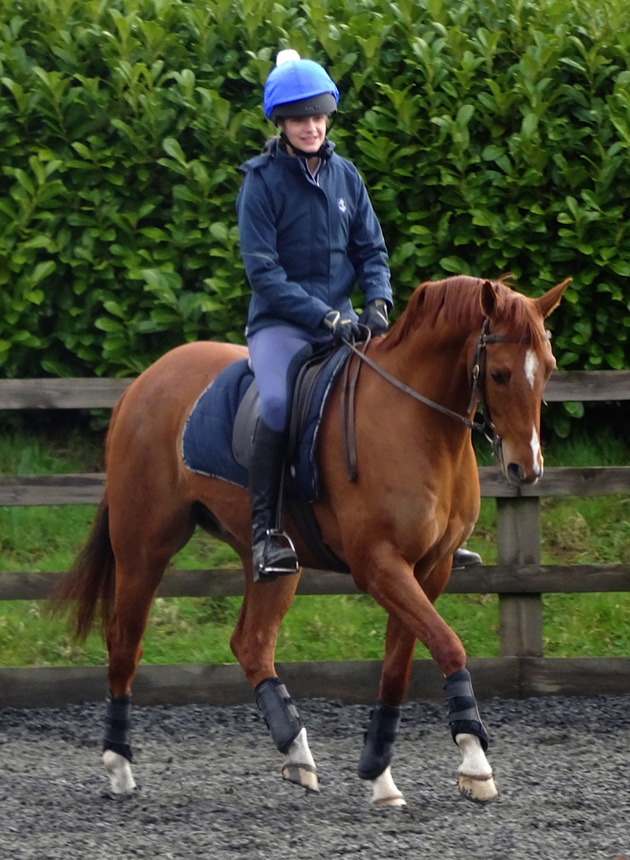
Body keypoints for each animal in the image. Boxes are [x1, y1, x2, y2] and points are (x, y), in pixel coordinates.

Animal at [53, 274, 569, 807]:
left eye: (549, 369)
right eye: (501, 374)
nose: (526, 469)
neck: (417, 423)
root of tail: (143, 382)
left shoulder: (430, 568)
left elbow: (398, 669)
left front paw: (379, 772)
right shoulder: (380, 565)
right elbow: (448, 646)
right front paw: (474, 762)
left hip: (273, 563)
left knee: (251, 643)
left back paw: (296, 752)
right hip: (143, 549)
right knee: (124, 643)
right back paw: (118, 765)